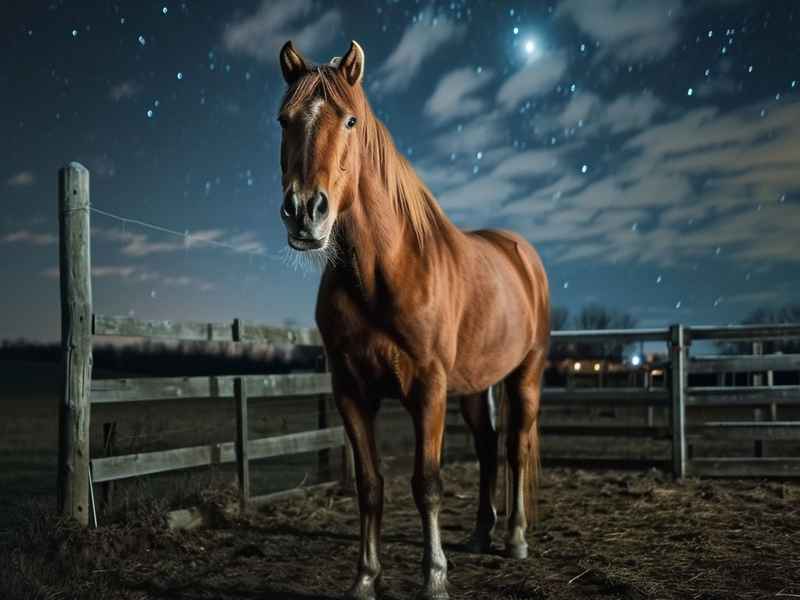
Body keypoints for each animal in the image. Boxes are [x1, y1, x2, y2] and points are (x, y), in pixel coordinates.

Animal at [275, 40, 550, 600]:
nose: (305, 212)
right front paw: (365, 577)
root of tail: (523, 254)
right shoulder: (350, 391)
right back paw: (481, 534)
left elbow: (427, 484)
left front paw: (435, 578)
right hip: (474, 387)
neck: (385, 270)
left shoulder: (427, 389)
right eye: (283, 120)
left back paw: (515, 539)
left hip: (525, 375)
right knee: (488, 447)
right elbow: (370, 485)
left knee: (515, 448)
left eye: (351, 120)